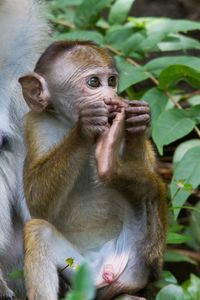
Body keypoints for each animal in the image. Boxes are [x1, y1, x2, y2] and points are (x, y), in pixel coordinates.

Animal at [19, 40, 167, 300]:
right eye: (94, 82)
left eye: (112, 81)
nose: (112, 96)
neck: (67, 121)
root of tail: (106, 268)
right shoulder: (35, 123)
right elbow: (37, 203)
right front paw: (86, 126)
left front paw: (138, 121)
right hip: (81, 271)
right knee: (38, 232)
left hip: (140, 261)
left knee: (150, 190)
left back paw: (109, 161)